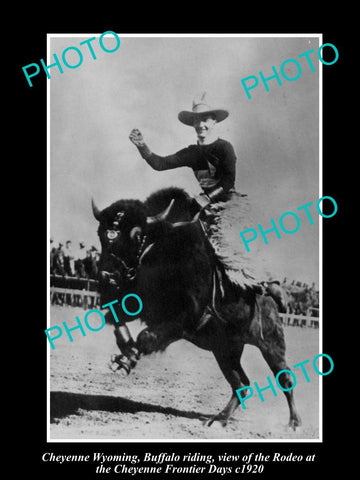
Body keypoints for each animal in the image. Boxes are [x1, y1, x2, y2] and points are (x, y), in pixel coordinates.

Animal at [91, 186, 300, 430]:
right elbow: (117, 320)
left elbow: (146, 337)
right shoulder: (137, 307)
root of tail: (270, 302)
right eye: (101, 233)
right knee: (241, 384)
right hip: (225, 351)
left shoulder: (183, 319)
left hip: (271, 345)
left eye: (137, 235)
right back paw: (220, 419)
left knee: (285, 378)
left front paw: (127, 359)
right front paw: (125, 354)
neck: (161, 248)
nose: (107, 276)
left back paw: (294, 423)